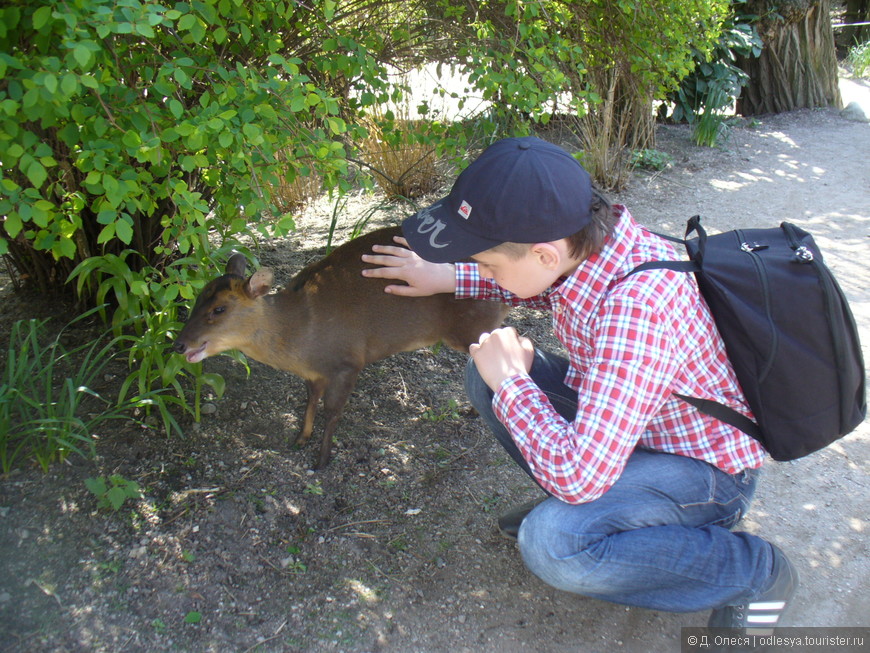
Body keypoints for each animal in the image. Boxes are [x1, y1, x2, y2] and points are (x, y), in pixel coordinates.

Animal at [173, 227, 508, 466]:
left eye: (219, 309)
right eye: (198, 297)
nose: (179, 344)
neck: (300, 333)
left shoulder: (348, 361)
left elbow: (332, 411)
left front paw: (322, 460)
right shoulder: (314, 372)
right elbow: (309, 402)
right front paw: (300, 438)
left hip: (473, 326)